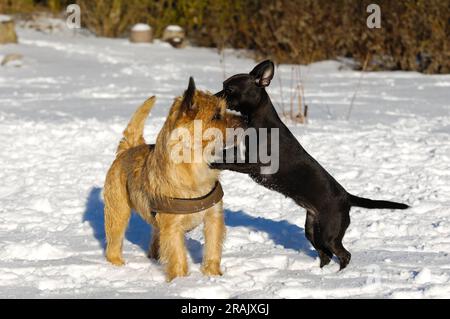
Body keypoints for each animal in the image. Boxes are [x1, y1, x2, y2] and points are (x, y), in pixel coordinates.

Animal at [103, 78, 243, 282]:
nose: (246, 120)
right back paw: (117, 265)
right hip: (118, 211)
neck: (195, 166)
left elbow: (212, 248)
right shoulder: (173, 226)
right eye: (217, 115)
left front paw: (213, 275)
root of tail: (128, 149)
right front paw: (180, 281)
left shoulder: (213, 217)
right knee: (114, 240)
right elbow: (177, 255)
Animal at [213, 59, 410, 270]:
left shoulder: (255, 166)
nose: (214, 97)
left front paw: (213, 164)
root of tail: (347, 198)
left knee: (344, 255)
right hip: (312, 229)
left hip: (329, 233)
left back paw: (338, 275)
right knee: (326, 255)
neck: (259, 121)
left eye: (229, 89)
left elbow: (228, 163)